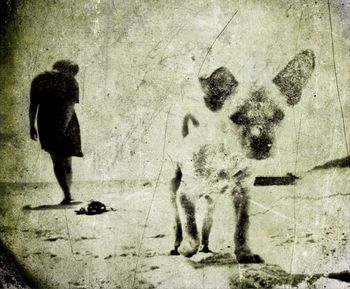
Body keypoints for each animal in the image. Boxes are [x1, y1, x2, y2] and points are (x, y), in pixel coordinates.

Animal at [169, 50, 314, 264]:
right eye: (236, 117)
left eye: (279, 116)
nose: (262, 142)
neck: (227, 159)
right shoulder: (185, 195)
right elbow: (190, 227)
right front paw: (187, 249)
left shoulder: (242, 195)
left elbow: (242, 226)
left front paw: (244, 253)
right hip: (174, 192)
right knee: (178, 223)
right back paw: (178, 245)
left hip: (211, 203)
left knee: (207, 224)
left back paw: (206, 247)